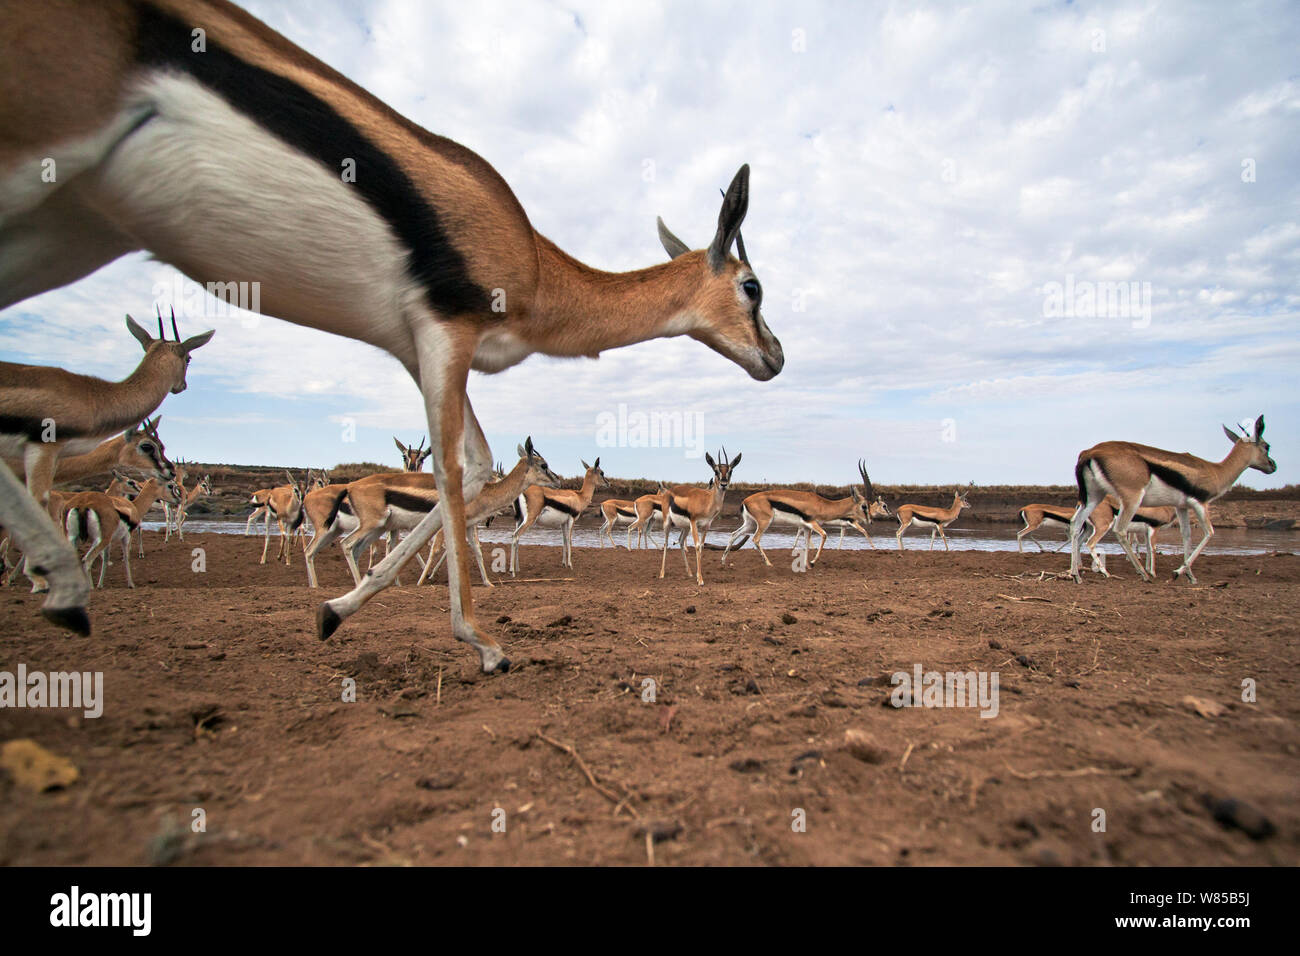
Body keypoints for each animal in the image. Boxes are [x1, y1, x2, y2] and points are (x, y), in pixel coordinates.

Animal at [661, 450, 741, 585]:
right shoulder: (694, 523)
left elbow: (702, 546)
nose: (724, 484)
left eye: (730, 471)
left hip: (686, 527)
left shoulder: (706, 526)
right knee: (666, 543)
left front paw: (698, 576)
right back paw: (661, 574)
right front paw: (700, 580)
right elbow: (697, 546)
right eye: (716, 471)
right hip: (668, 523)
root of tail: (668, 491)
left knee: (681, 541)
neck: (707, 501)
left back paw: (689, 573)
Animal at [723, 460, 880, 568]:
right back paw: (769, 563)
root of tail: (745, 500)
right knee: (755, 539)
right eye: (864, 506)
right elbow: (824, 535)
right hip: (764, 523)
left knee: (734, 534)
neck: (823, 504)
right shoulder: (812, 522)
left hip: (750, 523)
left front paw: (806, 565)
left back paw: (723, 561)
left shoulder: (805, 527)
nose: (870, 521)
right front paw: (813, 562)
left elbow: (806, 544)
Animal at [1068, 417, 1274, 584]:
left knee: (1075, 525)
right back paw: (1142, 574)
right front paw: (1177, 572)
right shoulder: (1200, 503)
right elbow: (1209, 533)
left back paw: (1076, 574)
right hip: (1131, 500)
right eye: (1266, 446)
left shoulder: (1182, 506)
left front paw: (1190, 575)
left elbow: (1186, 536)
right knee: (1119, 531)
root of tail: (1089, 452)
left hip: (1094, 497)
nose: (1273, 465)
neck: (1215, 472)